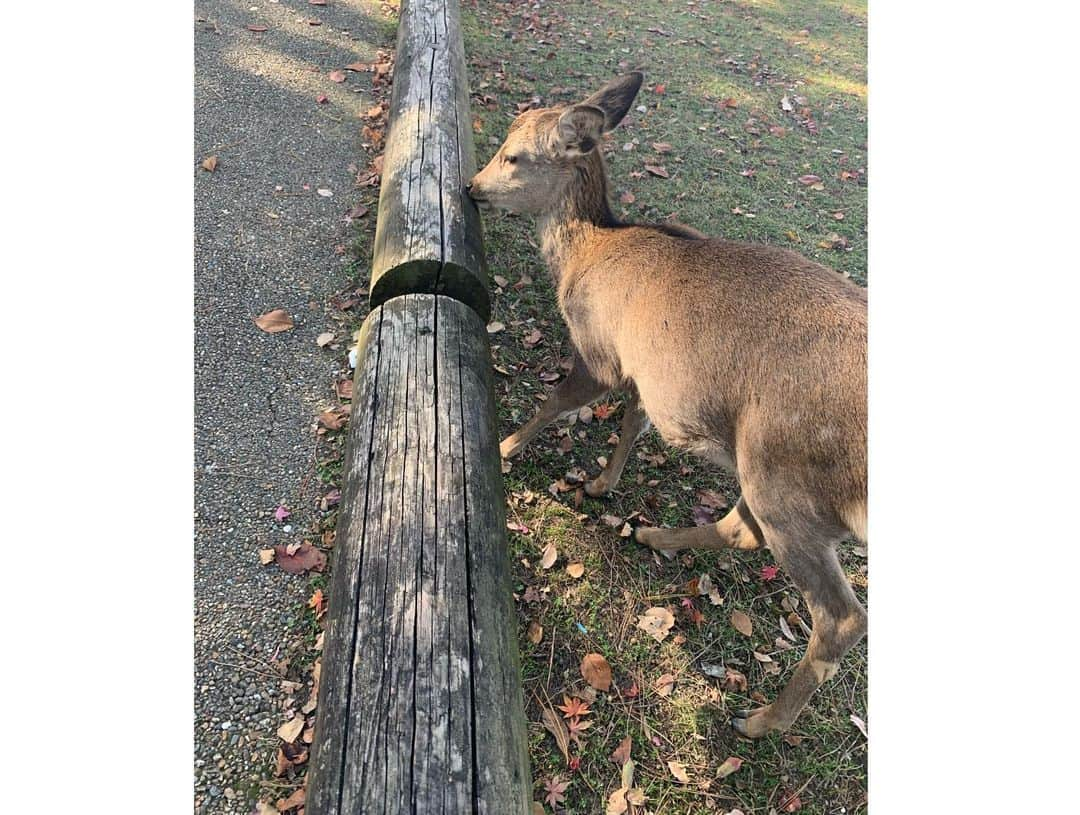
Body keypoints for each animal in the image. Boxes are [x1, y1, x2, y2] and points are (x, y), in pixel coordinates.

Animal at [466, 75, 868, 738]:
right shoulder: (646, 371)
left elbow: (556, 403)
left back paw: (759, 721)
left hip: (787, 473)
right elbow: (634, 419)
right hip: (772, 477)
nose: (470, 187)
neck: (585, 256)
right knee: (741, 529)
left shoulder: (600, 348)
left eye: (514, 156)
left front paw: (501, 447)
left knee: (841, 615)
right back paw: (655, 536)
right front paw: (601, 484)